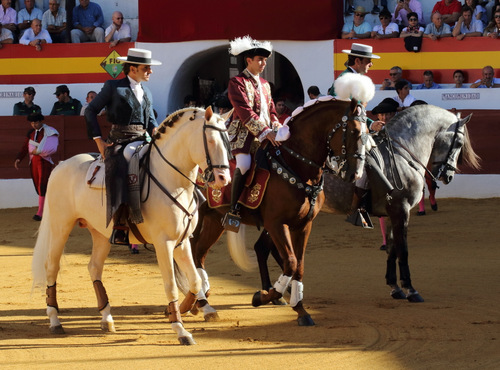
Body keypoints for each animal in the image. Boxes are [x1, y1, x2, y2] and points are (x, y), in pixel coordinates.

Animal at [32, 106, 231, 344]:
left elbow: (194, 280)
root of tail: (62, 164)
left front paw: (187, 309)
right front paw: (180, 329)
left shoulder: (181, 242)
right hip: (61, 225)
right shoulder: (164, 243)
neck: (173, 180)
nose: (223, 178)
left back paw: (107, 319)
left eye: (228, 141)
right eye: (210, 140)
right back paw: (55, 320)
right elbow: (171, 285)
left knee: (94, 267)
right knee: (51, 266)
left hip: (100, 233)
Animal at [177, 73, 376, 326]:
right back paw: (201, 301)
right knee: (193, 252)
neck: (296, 165)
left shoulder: (303, 225)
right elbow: (290, 261)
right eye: (353, 131)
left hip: (215, 219)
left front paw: (300, 308)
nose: (355, 174)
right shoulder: (275, 223)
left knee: (198, 253)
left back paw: (201, 301)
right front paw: (264, 296)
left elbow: (299, 265)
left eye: (368, 132)